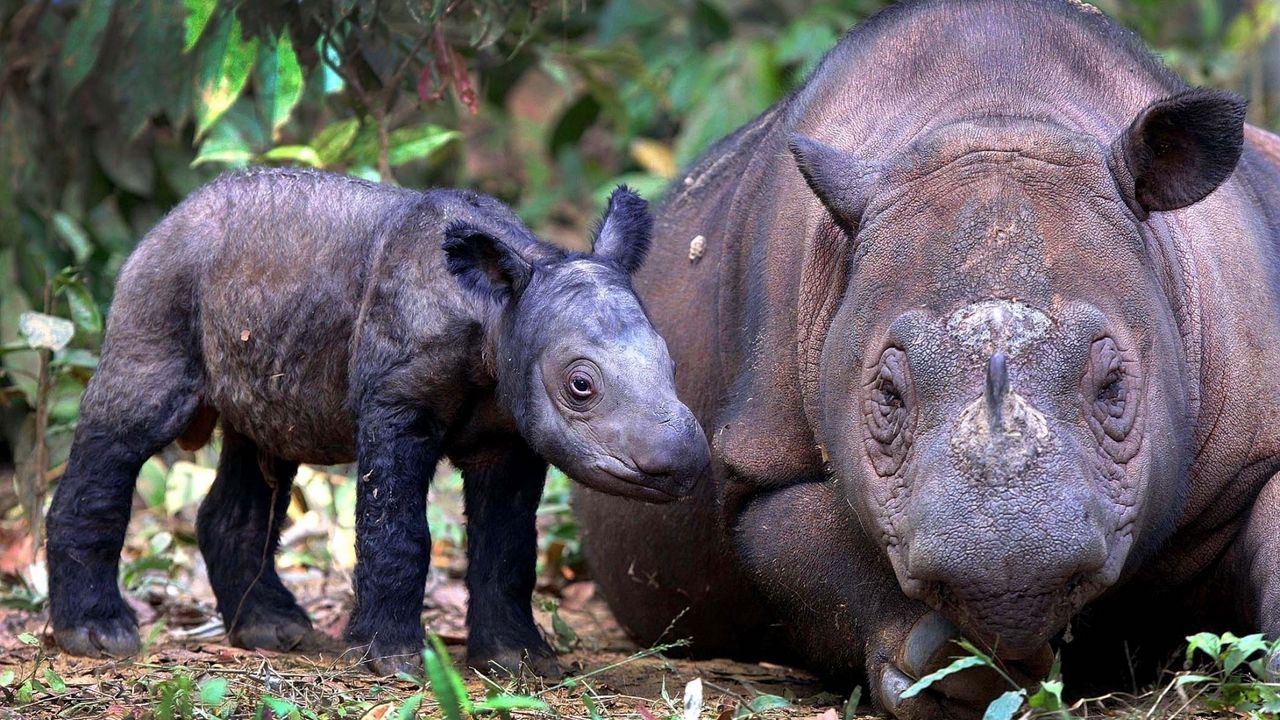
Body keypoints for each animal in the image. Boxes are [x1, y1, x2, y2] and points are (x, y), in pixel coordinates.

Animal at [45, 167, 711, 671]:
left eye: (673, 364)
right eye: (580, 385)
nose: (683, 462)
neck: (500, 311)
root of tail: (169, 217)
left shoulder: (512, 432)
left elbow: (509, 545)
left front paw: (519, 663)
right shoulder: (397, 402)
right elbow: (398, 530)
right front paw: (391, 661)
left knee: (262, 449)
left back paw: (271, 632)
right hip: (162, 281)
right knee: (130, 423)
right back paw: (99, 637)